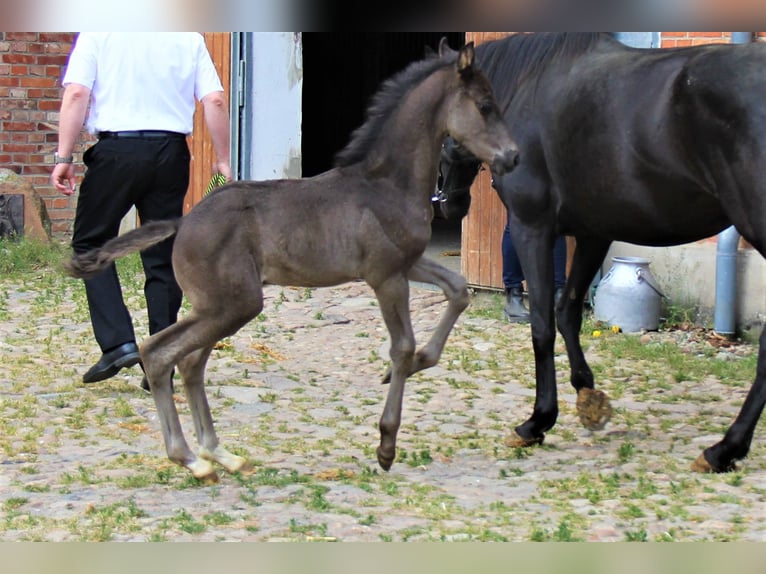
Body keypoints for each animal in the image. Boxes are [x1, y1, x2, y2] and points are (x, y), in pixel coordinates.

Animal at [67, 40, 520, 484]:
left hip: (219, 307)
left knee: (190, 362)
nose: (513, 157)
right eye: (485, 105)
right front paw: (386, 444)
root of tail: (183, 221)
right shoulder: (386, 276)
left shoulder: (409, 262)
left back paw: (221, 455)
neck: (385, 185)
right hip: (232, 304)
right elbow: (403, 346)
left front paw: (418, 364)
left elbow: (458, 291)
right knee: (160, 354)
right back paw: (191, 459)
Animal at [438, 32, 766, 472]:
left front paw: (537, 420)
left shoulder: (531, 228)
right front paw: (587, 397)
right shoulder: (593, 234)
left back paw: (723, 449)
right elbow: (567, 312)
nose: (450, 204)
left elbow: (541, 323)